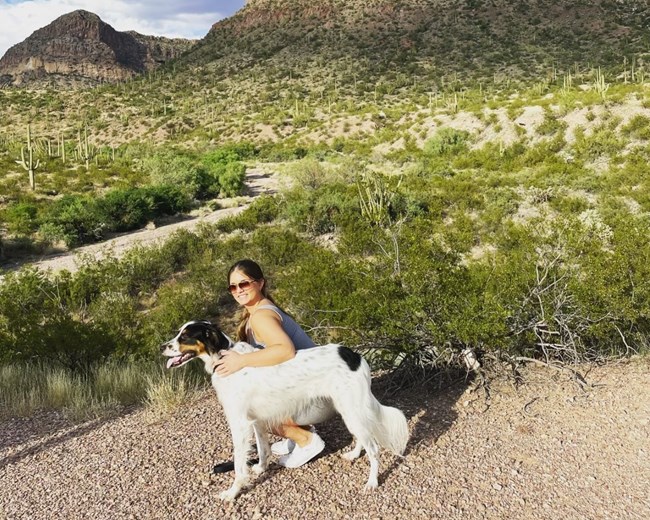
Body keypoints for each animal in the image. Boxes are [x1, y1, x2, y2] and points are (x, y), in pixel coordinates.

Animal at [159, 318, 408, 502]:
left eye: (185, 336)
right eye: (178, 333)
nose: (162, 347)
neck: (222, 356)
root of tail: (354, 355)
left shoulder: (239, 424)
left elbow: (239, 465)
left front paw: (232, 492)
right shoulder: (256, 421)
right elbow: (262, 449)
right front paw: (260, 468)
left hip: (351, 408)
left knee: (373, 448)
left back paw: (372, 482)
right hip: (347, 408)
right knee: (361, 437)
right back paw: (354, 454)